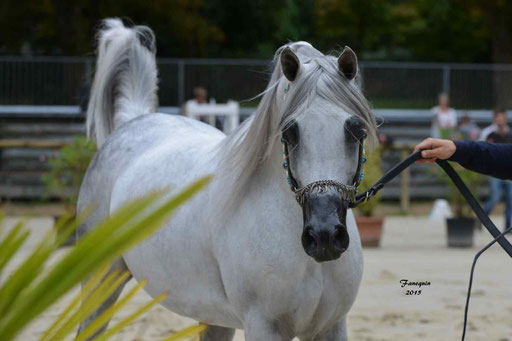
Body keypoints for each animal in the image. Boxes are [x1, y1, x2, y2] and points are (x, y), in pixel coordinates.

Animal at [78, 19, 378, 340]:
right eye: (289, 132)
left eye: (357, 130)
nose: (324, 236)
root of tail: (133, 122)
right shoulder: (263, 326)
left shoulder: (331, 326)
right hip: (101, 282)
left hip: (214, 318)